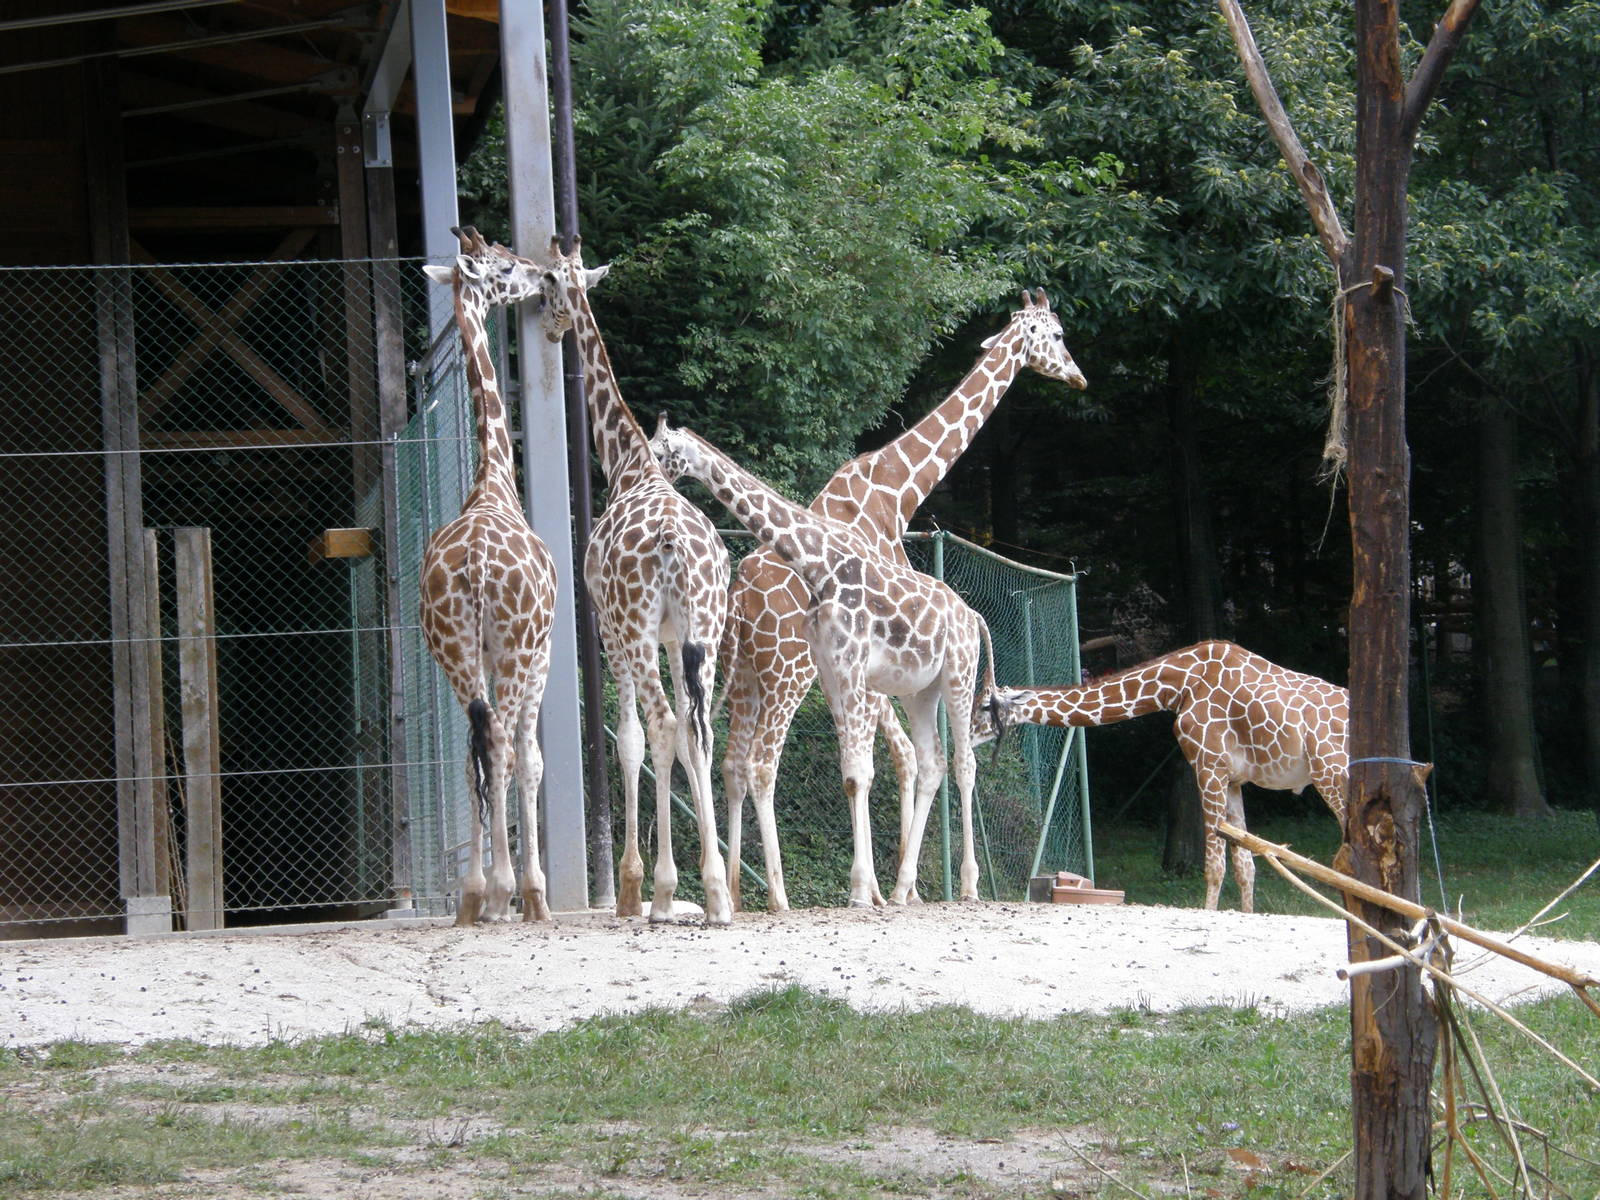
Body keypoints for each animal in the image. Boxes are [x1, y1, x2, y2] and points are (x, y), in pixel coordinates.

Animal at [530, 239, 733, 926]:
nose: (547, 324)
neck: (626, 463)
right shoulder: (677, 637)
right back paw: (717, 892)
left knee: (667, 724)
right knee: (699, 728)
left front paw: (633, 886)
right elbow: (689, 740)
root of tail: (674, 545)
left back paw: (670, 891)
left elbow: (632, 740)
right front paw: (702, 884)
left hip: (635, 626)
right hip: (709, 631)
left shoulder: (608, 625)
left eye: (549, 284)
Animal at [651, 417, 997, 906]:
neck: (819, 566)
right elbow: (851, 774)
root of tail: (973, 615)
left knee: (965, 765)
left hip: (959, 676)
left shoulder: (853, 664)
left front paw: (859, 892)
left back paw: (968, 886)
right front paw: (862, 889)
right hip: (919, 690)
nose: (646, 471)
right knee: (933, 764)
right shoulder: (832, 670)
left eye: (662, 449)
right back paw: (901, 889)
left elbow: (860, 772)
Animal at [722, 290, 1086, 910]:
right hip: (787, 672)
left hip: (746, 672)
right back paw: (779, 896)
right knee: (761, 763)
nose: (1079, 377)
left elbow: (905, 759)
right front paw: (885, 886)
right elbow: (898, 761)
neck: (899, 491)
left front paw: (896, 887)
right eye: (1058, 336)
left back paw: (727, 890)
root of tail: (743, 594)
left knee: (728, 762)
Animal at [976, 640, 1349, 912]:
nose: (965, 731)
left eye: (984, 705)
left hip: (1332, 774)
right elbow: (1245, 865)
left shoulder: (1209, 765)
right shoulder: (1233, 779)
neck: (1177, 685)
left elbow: (1215, 864)